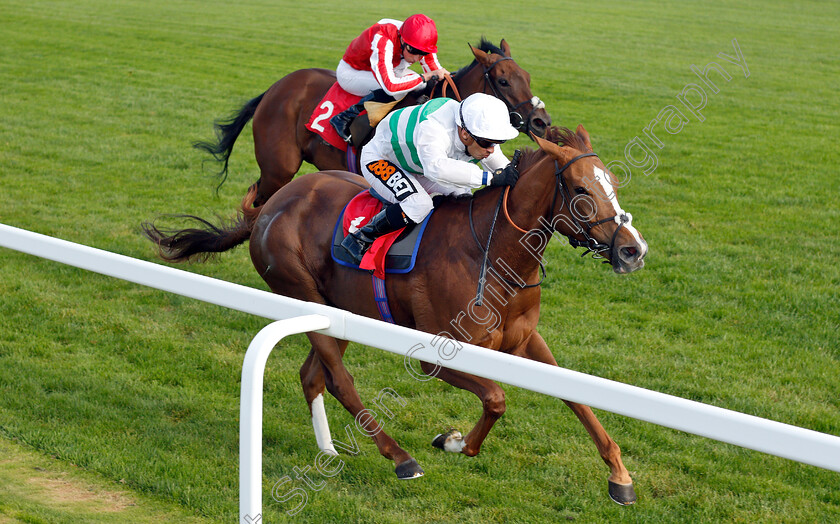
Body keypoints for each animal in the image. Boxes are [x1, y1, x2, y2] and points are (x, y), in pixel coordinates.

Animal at [141, 126, 648, 504]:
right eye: (580, 189)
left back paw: (330, 450)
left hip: (341, 308)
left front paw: (620, 477)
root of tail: (275, 202)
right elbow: (496, 399)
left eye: (613, 183)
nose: (633, 250)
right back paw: (399, 457)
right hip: (302, 293)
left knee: (314, 374)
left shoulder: (524, 342)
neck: (492, 253)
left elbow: (577, 398)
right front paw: (453, 441)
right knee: (339, 378)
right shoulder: (438, 356)